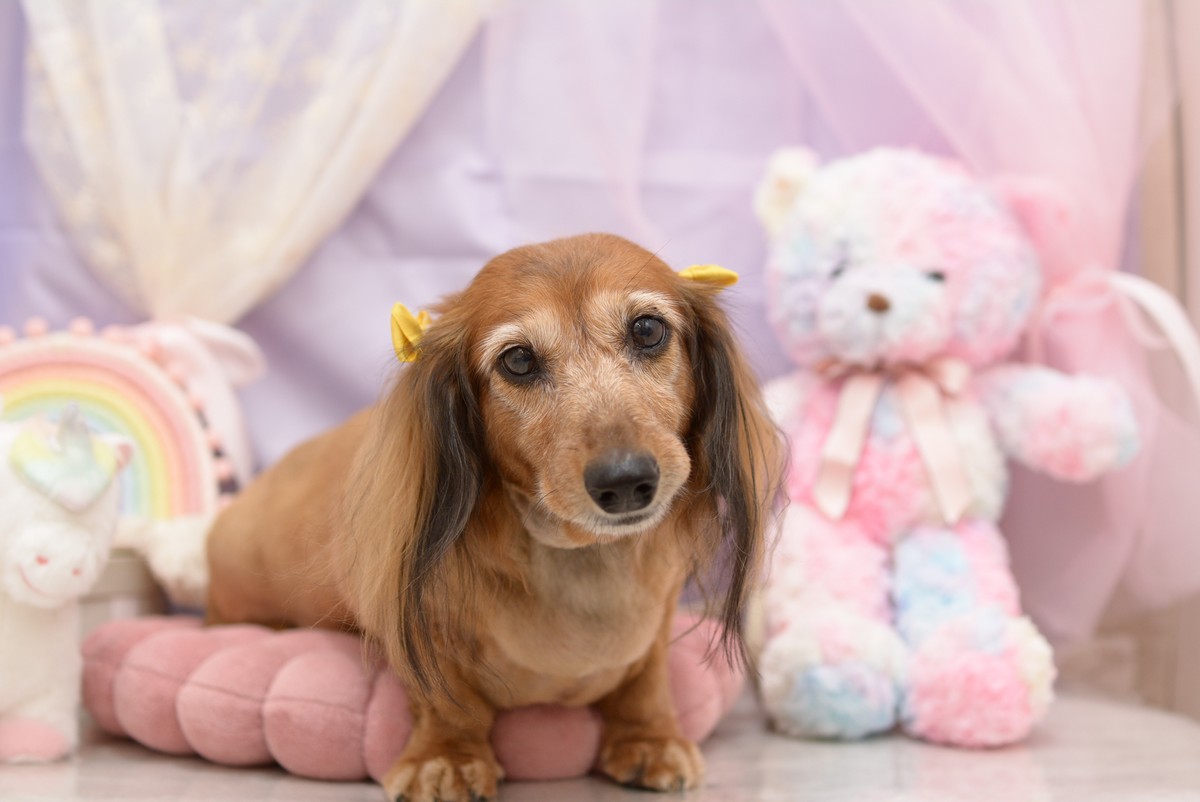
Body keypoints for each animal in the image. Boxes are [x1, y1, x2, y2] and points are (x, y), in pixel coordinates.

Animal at [206, 233, 781, 801]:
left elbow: (647, 677)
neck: (580, 558)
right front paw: (447, 757)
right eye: (518, 360)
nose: (624, 482)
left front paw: (650, 738)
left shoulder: (660, 617)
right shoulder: (423, 627)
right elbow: (448, 700)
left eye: (647, 329)